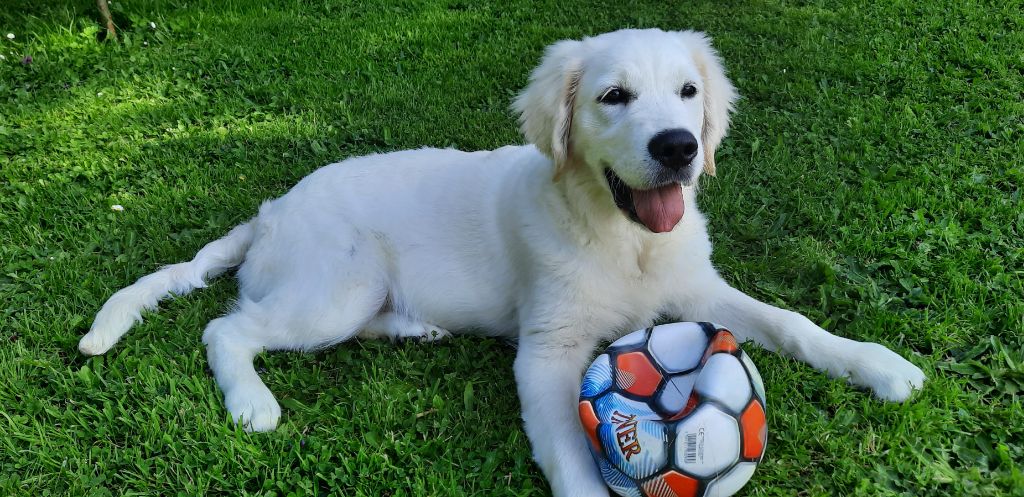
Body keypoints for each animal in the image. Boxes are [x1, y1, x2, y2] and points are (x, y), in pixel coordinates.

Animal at [81, 29, 929, 493]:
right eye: (614, 97)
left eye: (690, 92)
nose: (679, 148)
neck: (624, 239)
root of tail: (269, 212)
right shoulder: (549, 352)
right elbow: (572, 454)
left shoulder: (699, 289)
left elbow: (791, 321)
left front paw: (880, 364)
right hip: (338, 286)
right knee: (228, 329)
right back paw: (251, 400)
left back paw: (416, 329)